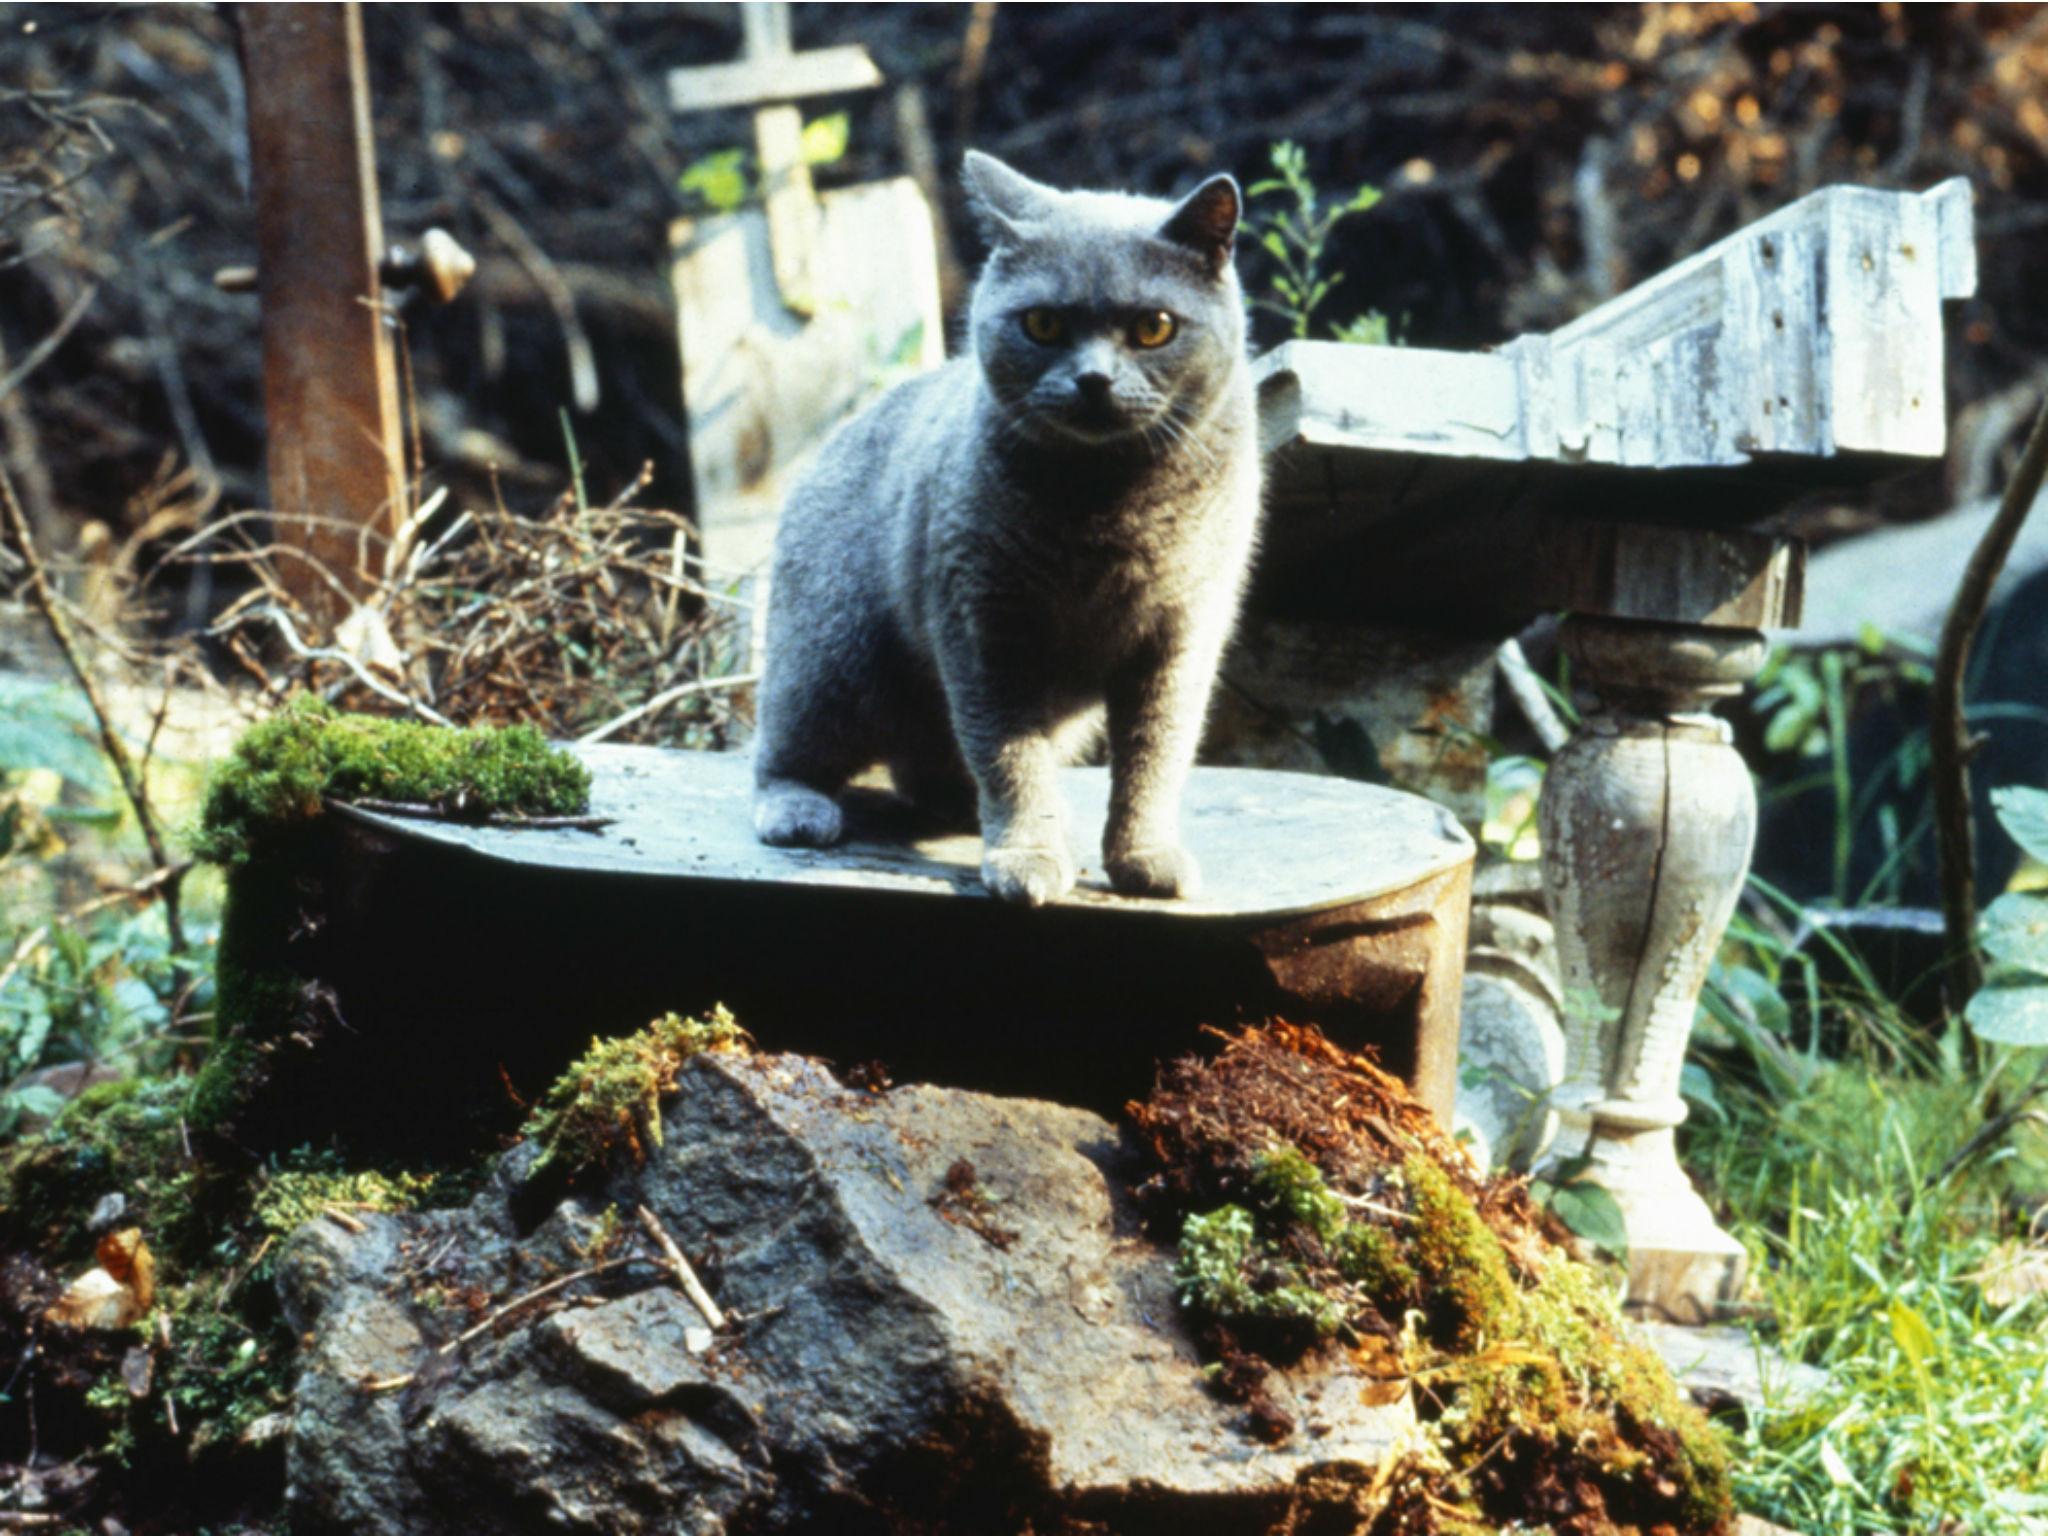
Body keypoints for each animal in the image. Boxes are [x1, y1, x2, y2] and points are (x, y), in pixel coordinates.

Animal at [753, 150, 1261, 909]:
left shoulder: (1181, 635)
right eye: (1044, 324)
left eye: (1154, 328)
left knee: (931, 774)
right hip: (833, 655)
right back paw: (799, 809)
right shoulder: (985, 625)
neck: (1107, 508)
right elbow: (1008, 753)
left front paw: (1145, 857)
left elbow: (1155, 754)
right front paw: (1028, 856)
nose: (1093, 380)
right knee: (783, 747)